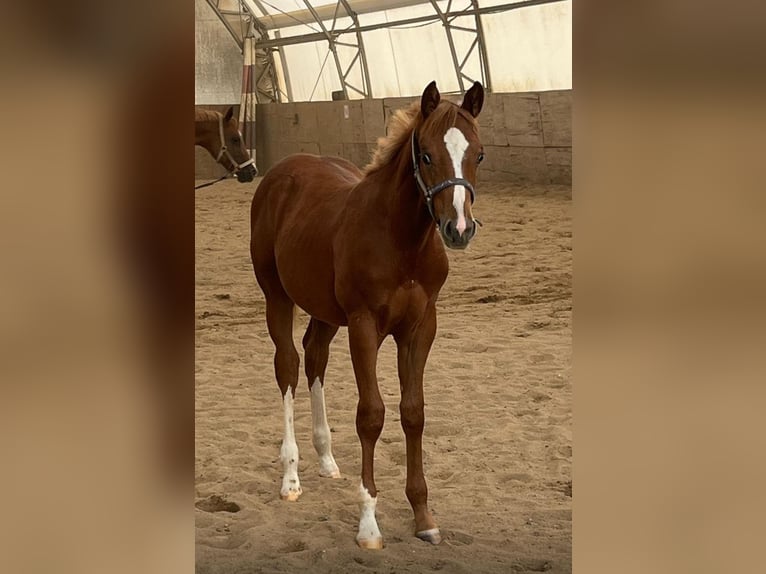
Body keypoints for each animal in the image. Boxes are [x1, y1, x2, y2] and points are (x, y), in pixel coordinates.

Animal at [250, 80, 484, 549]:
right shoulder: (363, 326)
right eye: (426, 155)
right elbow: (371, 415)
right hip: (277, 297)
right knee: (288, 364)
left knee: (315, 356)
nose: (459, 230)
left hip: (323, 309)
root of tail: (281, 171)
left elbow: (413, 412)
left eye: (479, 154)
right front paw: (368, 523)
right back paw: (291, 477)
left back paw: (326, 459)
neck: (402, 241)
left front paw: (423, 516)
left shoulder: (420, 327)